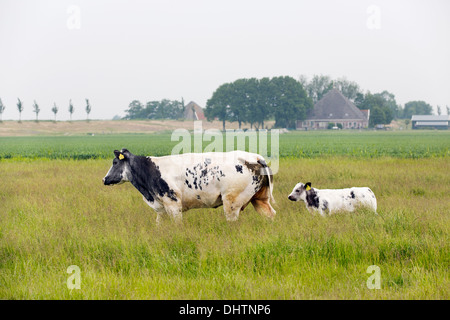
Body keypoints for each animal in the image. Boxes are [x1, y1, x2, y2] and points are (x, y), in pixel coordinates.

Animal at [103, 149, 276, 224]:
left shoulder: (173, 205)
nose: (105, 179)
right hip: (260, 199)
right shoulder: (161, 208)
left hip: (231, 203)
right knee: (270, 215)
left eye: (115, 162)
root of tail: (255, 157)